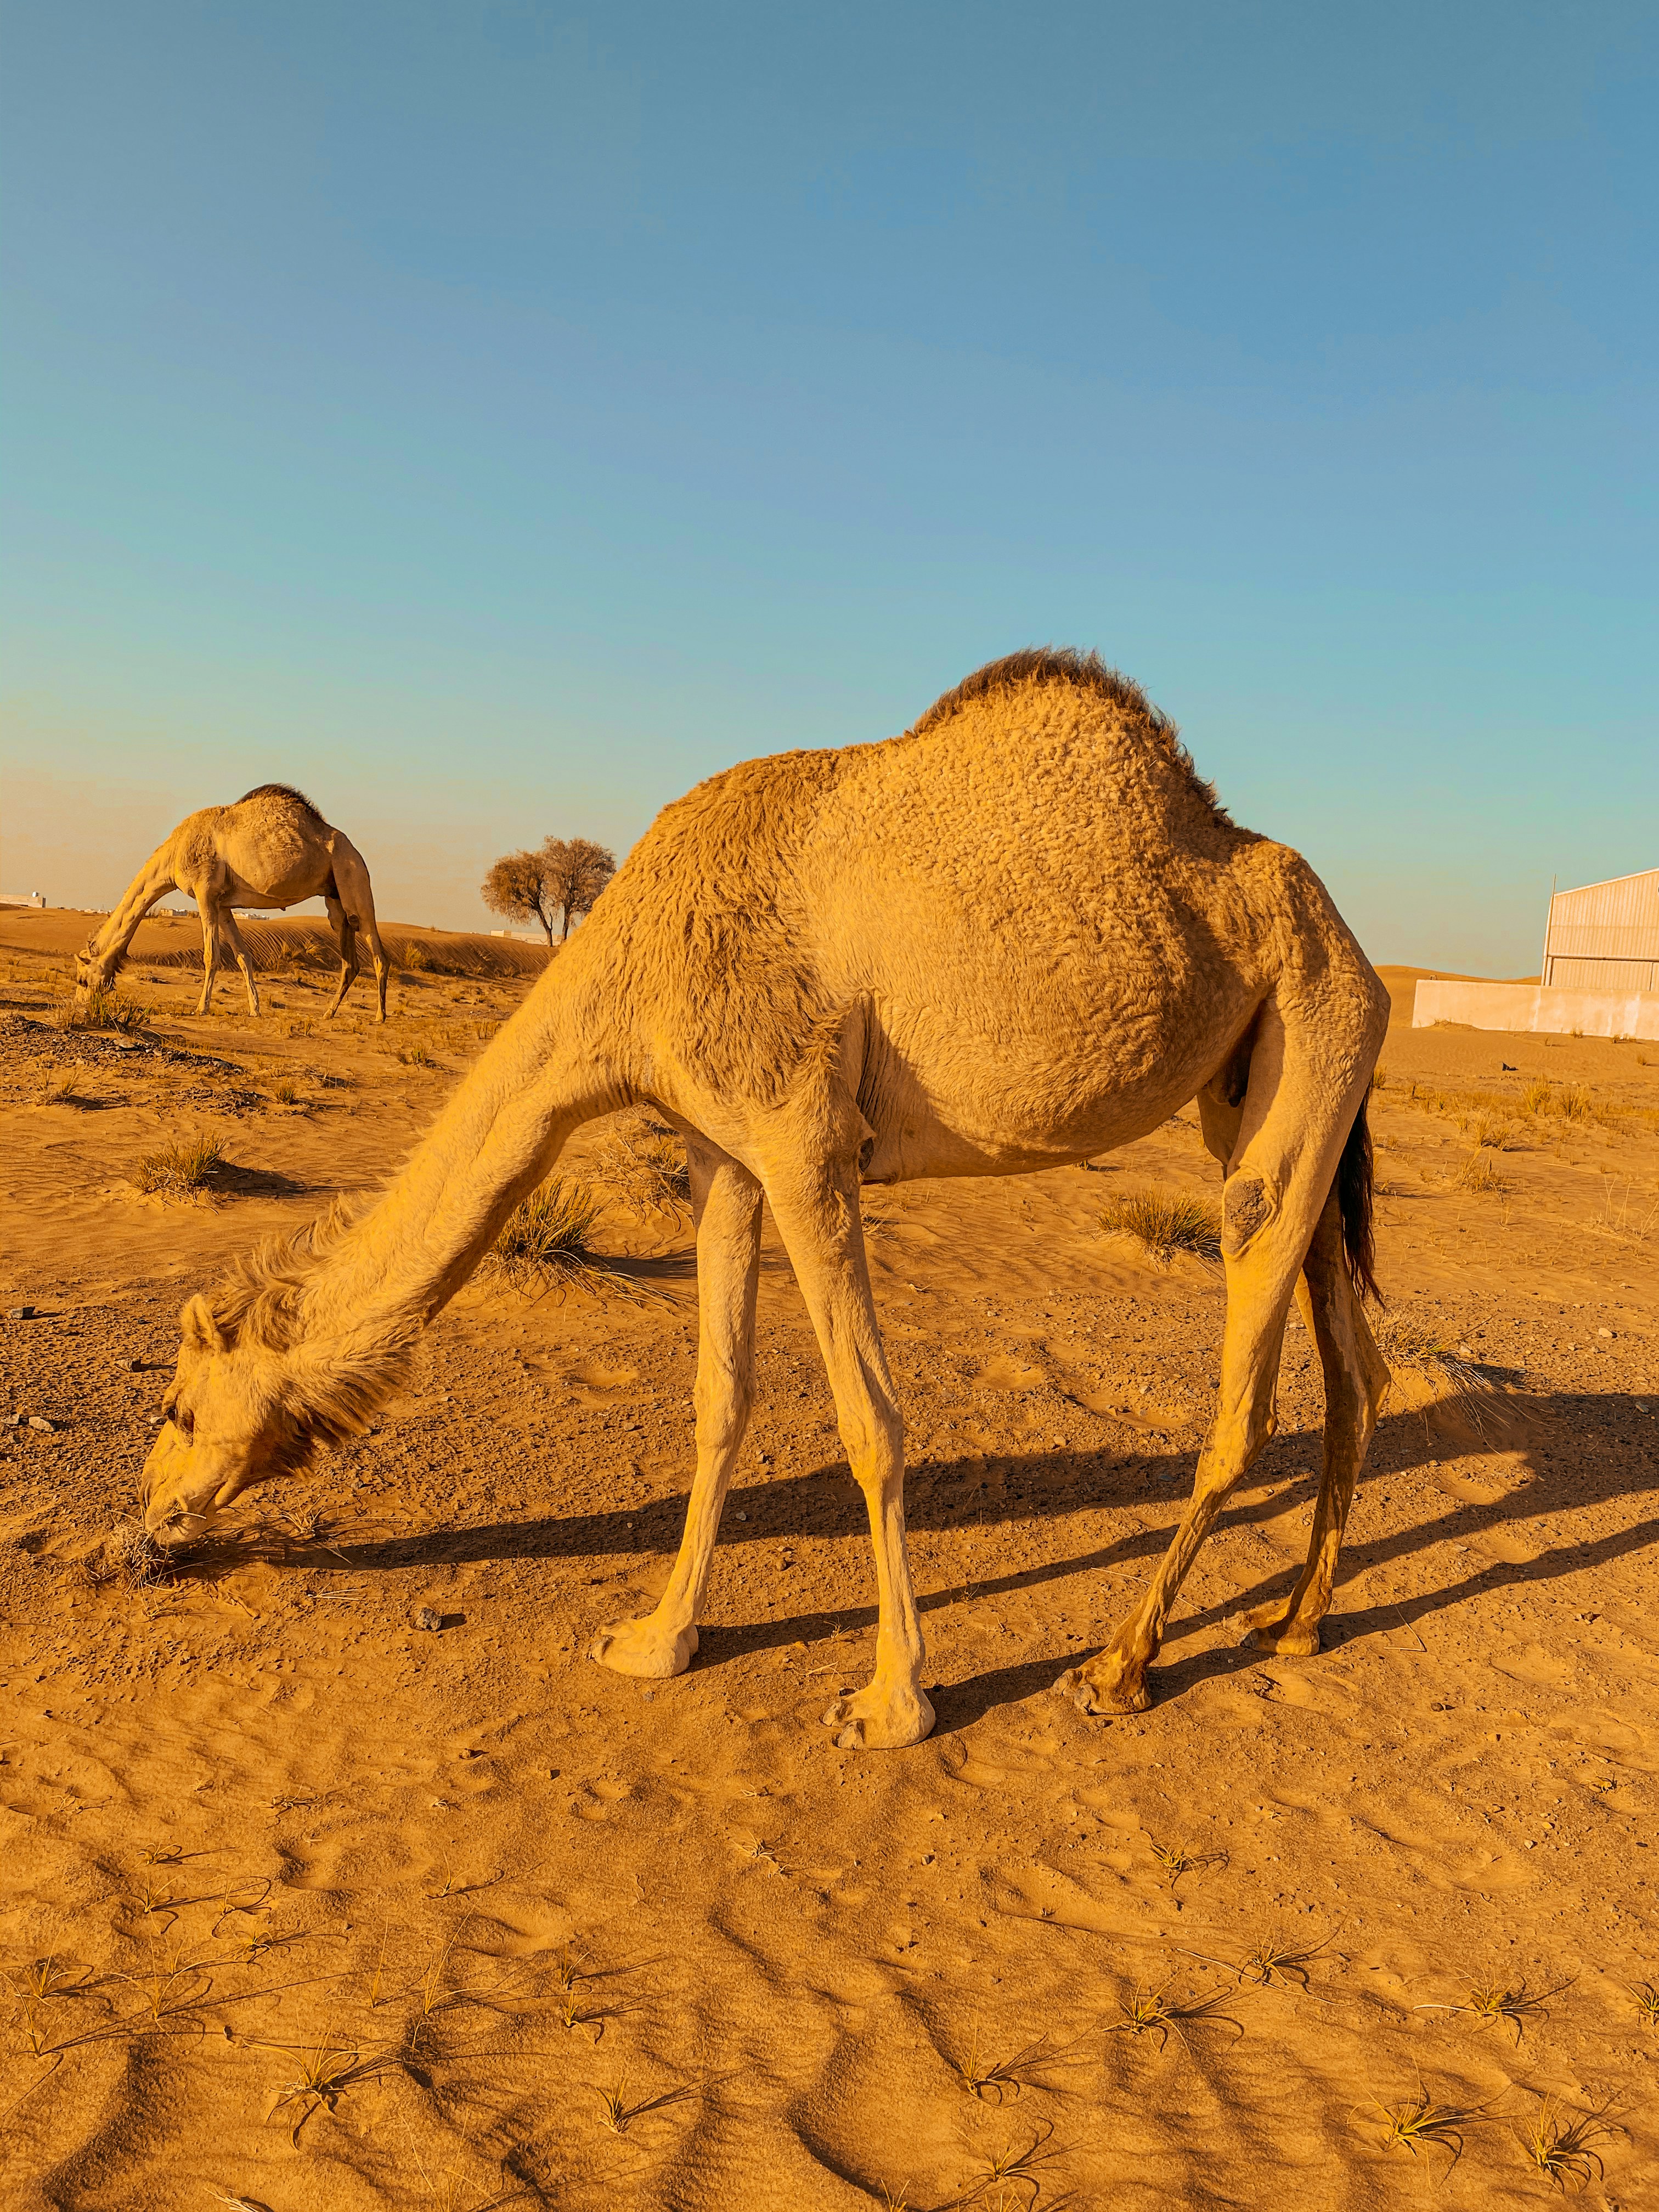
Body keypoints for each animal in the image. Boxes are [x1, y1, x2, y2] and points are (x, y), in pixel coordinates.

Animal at [75, 785, 390, 1021]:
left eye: (82, 980)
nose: (81, 1005)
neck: (175, 853)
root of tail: (354, 850)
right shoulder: (223, 903)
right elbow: (243, 956)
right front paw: (255, 1009)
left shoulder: (204, 891)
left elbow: (211, 955)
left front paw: (201, 1008)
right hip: (334, 895)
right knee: (349, 956)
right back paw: (328, 1013)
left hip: (352, 874)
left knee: (375, 948)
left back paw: (380, 1016)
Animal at [139, 650, 1390, 1749]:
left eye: (181, 1408)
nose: (152, 1516)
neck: (629, 967)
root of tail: (1358, 945)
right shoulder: (720, 1152)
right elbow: (720, 1396)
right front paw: (657, 1638)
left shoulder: (802, 1138)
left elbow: (871, 1421)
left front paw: (892, 1703)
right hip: (1275, 1085)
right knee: (1357, 1369)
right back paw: (1294, 1621)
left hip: (1311, 1028)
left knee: (1248, 1387)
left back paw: (1121, 1665)